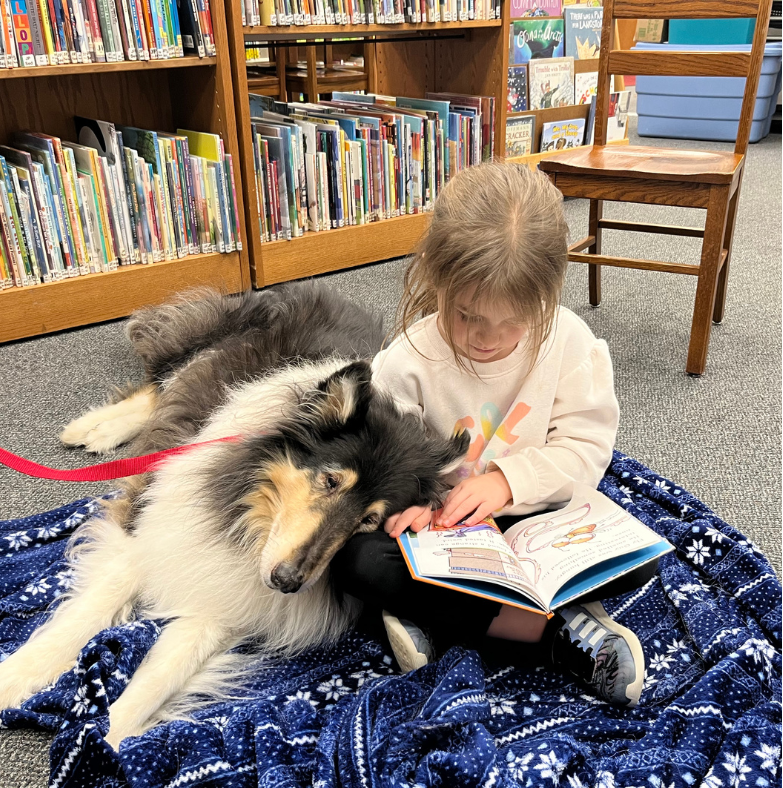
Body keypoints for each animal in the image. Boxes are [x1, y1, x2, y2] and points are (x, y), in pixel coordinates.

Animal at [0, 282, 466, 744]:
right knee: (160, 384)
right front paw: (10, 682)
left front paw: (102, 743)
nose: (287, 582)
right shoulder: (150, 533)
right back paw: (93, 428)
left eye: (371, 520)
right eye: (331, 481)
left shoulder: (224, 598)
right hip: (207, 348)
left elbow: (157, 680)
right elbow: (85, 615)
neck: (249, 521)